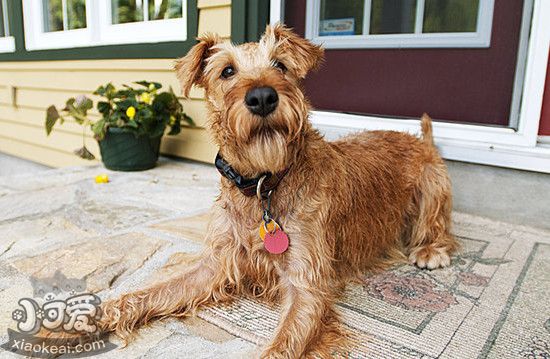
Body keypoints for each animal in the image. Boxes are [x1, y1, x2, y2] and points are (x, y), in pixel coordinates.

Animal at [100, 23, 462, 358]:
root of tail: (421, 141)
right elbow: (159, 290)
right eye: (227, 71)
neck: (262, 186)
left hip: (433, 189)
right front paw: (99, 314)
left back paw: (430, 251)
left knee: (438, 228)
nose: (262, 97)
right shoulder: (216, 264)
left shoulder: (306, 286)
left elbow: (281, 346)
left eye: (280, 65)